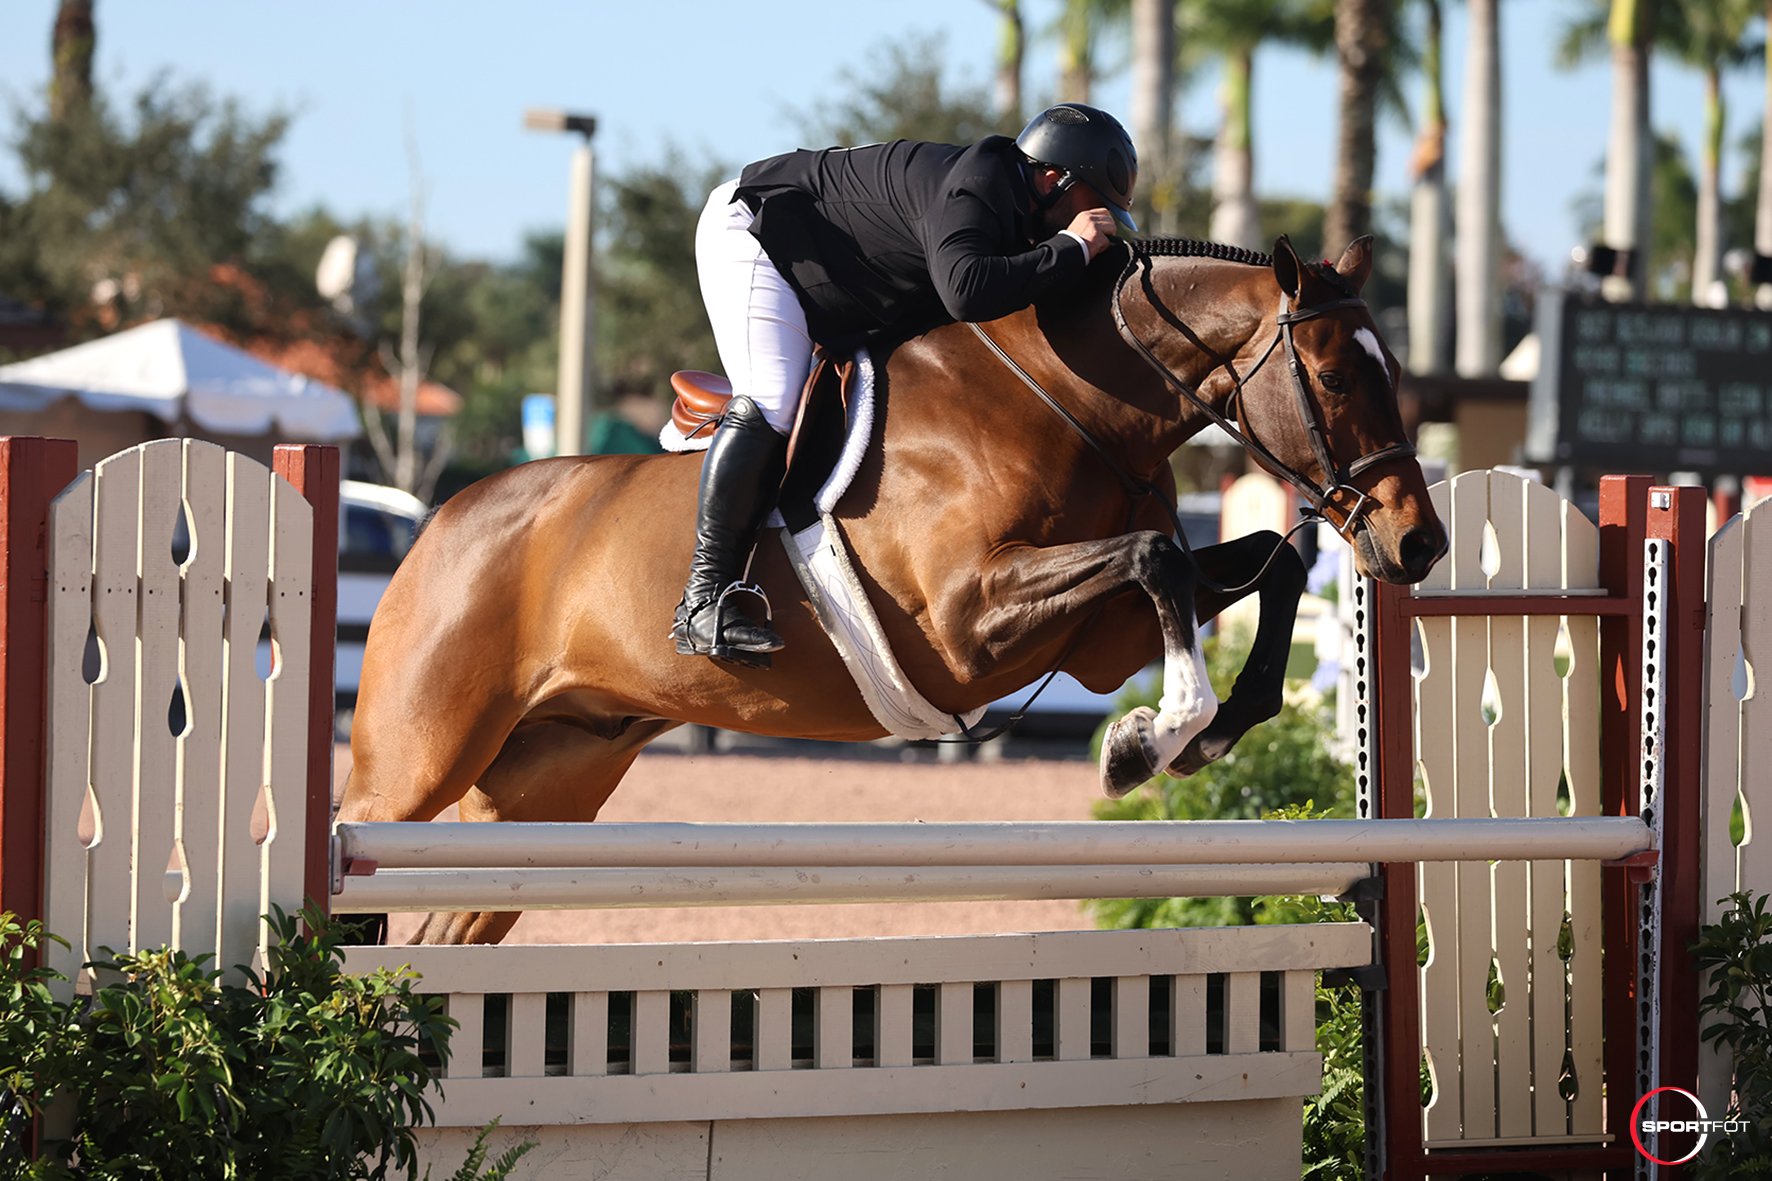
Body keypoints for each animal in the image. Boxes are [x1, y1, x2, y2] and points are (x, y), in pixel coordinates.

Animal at [338, 234, 1445, 943]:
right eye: (1335, 377)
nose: (1418, 542)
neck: (1074, 400)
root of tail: (442, 517)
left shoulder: (1094, 642)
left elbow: (1261, 561)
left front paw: (1215, 723)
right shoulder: (967, 624)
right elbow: (1157, 557)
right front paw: (1150, 738)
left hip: (547, 790)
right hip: (413, 768)